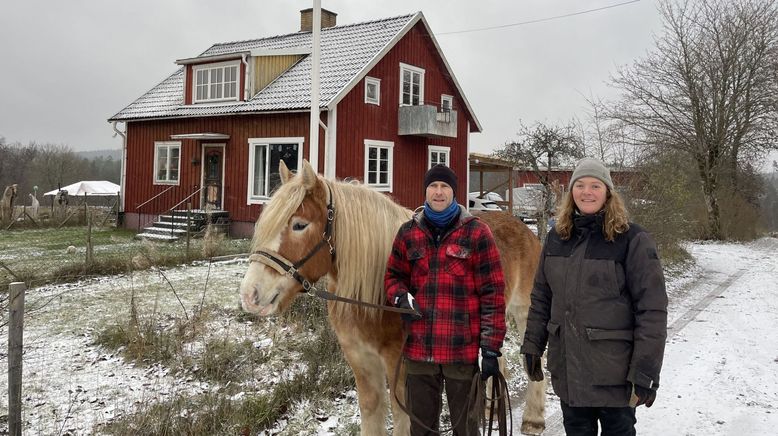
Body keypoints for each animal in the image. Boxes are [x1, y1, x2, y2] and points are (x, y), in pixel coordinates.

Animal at [238, 161, 544, 436]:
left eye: (300, 225)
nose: (250, 294)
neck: (373, 297)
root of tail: (525, 229)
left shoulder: (401, 366)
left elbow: (402, 419)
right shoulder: (360, 360)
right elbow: (372, 413)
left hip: (524, 311)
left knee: (531, 363)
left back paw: (533, 419)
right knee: (497, 365)